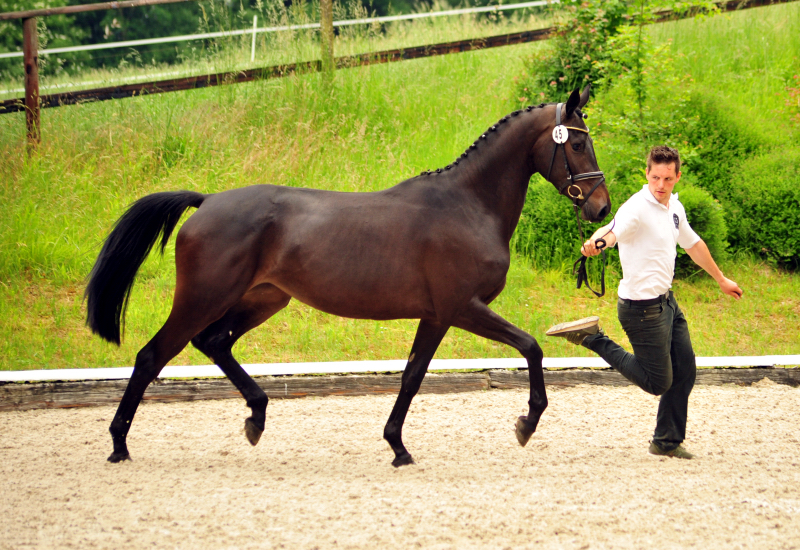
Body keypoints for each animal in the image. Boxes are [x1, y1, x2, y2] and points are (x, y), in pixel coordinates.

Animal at [86, 85, 608, 466]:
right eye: (578, 142)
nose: (601, 208)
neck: (467, 206)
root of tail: (207, 201)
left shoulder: (436, 316)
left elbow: (412, 376)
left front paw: (397, 446)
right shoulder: (461, 308)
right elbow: (531, 347)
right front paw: (526, 424)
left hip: (264, 299)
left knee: (214, 342)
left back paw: (256, 418)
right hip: (203, 298)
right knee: (152, 356)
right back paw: (118, 445)